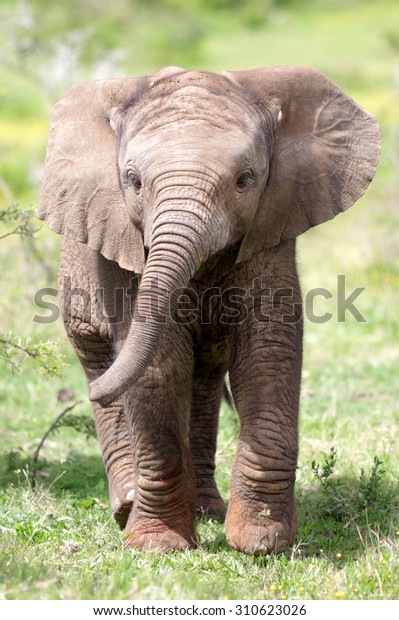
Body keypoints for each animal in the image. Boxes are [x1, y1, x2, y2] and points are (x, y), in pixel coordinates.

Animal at [38, 65, 382, 556]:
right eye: (133, 181)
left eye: (245, 180)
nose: (89, 395)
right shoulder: (123, 250)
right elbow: (159, 364)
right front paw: (157, 547)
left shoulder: (270, 229)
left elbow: (267, 351)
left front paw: (260, 542)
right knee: (100, 357)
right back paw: (128, 504)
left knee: (201, 379)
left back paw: (206, 511)